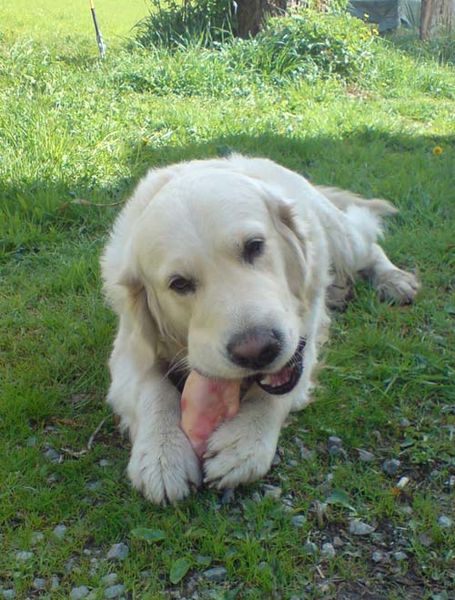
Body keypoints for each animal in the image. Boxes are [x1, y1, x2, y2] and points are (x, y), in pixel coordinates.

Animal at [100, 154, 420, 502]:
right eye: (179, 284)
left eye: (254, 246)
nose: (258, 351)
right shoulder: (128, 350)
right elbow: (152, 389)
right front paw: (162, 453)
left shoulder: (304, 337)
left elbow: (279, 391)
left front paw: (244, 441)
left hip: (343, 238)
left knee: (369, 241)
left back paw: (395, 279)